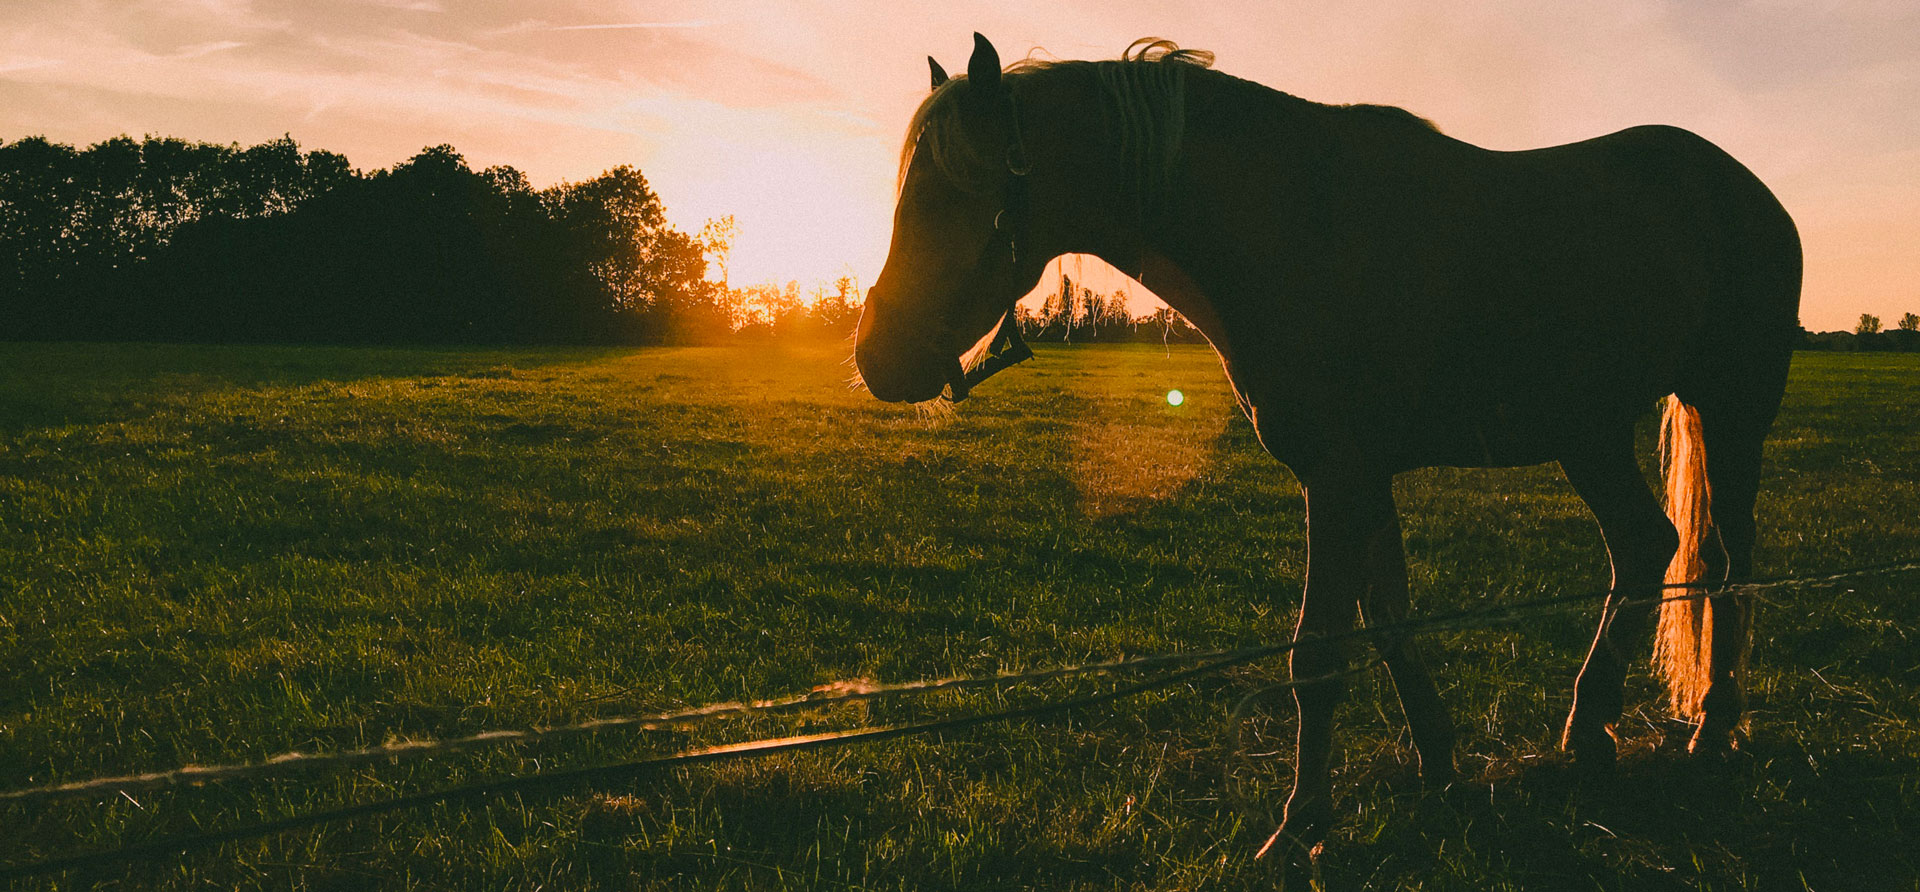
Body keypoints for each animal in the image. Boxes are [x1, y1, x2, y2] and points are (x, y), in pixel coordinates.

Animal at [856, 34, 1797, 863]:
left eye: (949, 194)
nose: (876, 356)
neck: (1296, 225)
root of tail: (1746, 190)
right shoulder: (1361, 480)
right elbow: (1388, 625)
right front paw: (1441, 767)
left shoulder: (1338, 480)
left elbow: (1317, 654)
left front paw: (1301, 823)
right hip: (1588, 434)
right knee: (1644, 546)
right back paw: (1591, 729)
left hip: (1728, 412)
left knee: (1723, 561)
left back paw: (1712, 727)